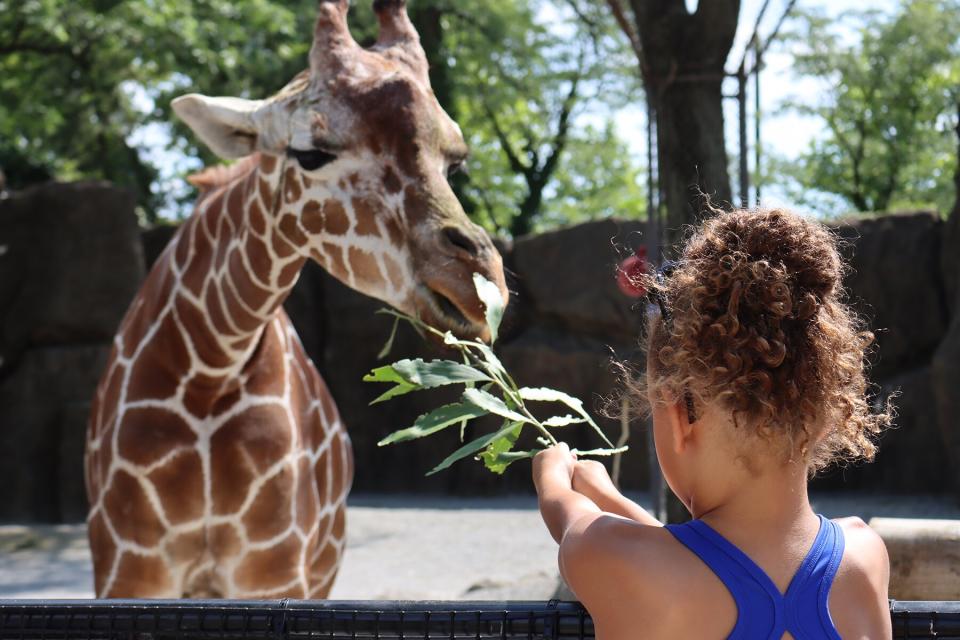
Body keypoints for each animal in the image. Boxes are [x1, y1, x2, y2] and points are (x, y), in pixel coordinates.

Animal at [86, 1, 510, 600]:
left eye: (456, 161)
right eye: (309, 153)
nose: (476, 286)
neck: (208, 368)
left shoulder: (275, 573)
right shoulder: (129, 569)